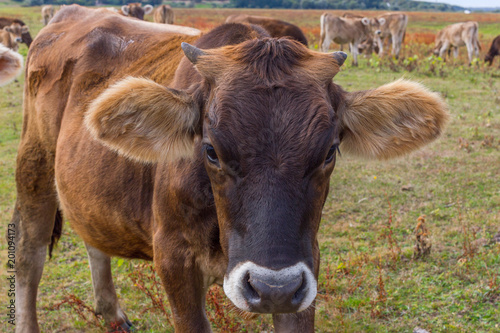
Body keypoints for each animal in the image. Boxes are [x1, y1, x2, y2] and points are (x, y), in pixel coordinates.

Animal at [12, 4, 450, 332]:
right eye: (210, 150)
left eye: (329, 151)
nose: (272, 288)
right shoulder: (174, 262)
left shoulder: (305, 270)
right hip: (34, 168)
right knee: (28, 255)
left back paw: (112, 312)